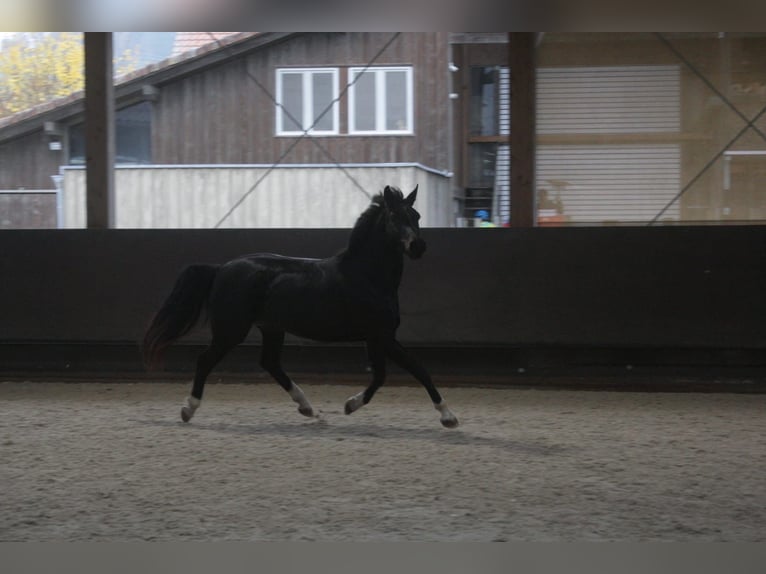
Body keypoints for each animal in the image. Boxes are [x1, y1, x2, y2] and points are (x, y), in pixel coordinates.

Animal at [141, 185, 459, 428]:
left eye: (416, 215)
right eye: (394, 216)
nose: (417, 247)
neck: (367, 276)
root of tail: (221, 268)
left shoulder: (378, 338)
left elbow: (390, 375)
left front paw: (350, 405)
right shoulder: (381, 336)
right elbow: (411, 371)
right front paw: (448, 417)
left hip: (271, 328)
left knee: (270, 363)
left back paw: (309, 409)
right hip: (232, 330)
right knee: (205, 360)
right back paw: (188, 409)